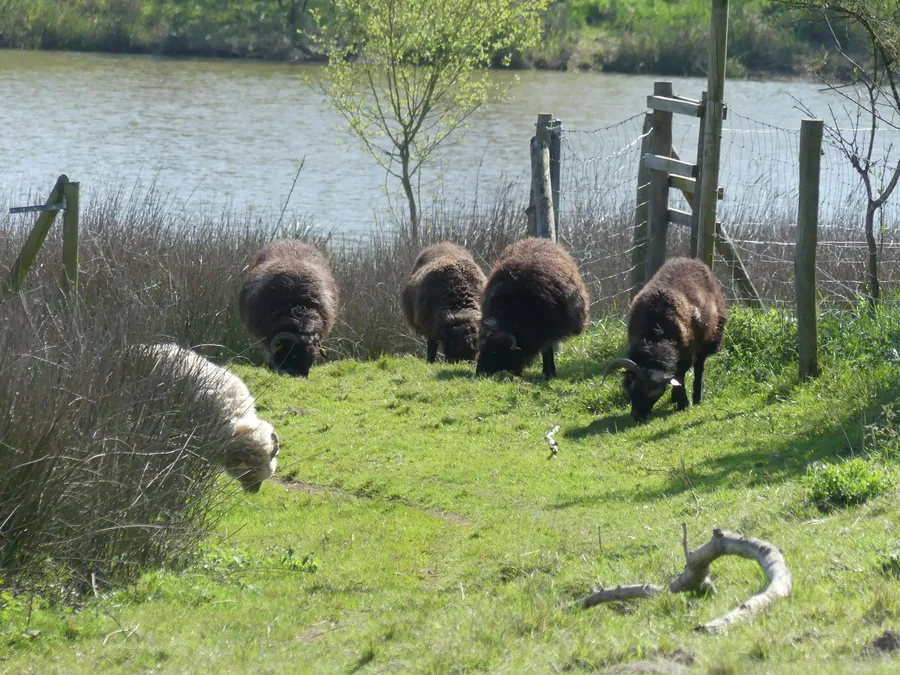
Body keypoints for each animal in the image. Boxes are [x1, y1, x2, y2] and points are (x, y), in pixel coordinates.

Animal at [476, 238, 589, 379]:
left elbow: (547, 351)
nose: (480, 372)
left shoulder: (549, 332)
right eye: (481, 347)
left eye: (495, 351)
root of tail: (538, 239)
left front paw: (549, 373)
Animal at [604, 257, 727, 422]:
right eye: (631, 389)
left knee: (699, 367)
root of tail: (692, 260)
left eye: (654, 395)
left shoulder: (685, 354)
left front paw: (683, 404)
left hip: (709, 339)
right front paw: (678, 400)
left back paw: (697, 398)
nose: (638, 416)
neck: (654, 336)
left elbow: (680, 377)